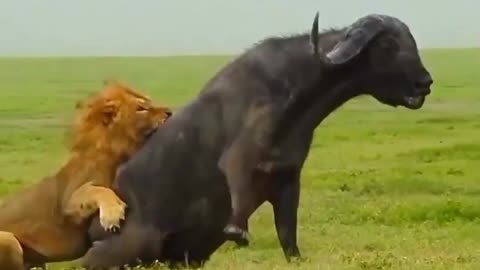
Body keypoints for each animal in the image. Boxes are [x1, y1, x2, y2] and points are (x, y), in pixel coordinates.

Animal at [0, 81, 172, 268]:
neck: (118, 152)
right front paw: (112, 214)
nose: (170, 112)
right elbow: (96, 189)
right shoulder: (69, 204)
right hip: (9, 240)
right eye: (141, 108)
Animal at [83, 12, 436, 268]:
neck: (295, 94)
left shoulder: (288, 179)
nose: (425, 82)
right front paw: (237, 231)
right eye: (388, 46)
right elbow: (238, 181)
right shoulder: (240, 158)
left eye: (411, 41)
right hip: (129, 247)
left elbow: (288, 234)